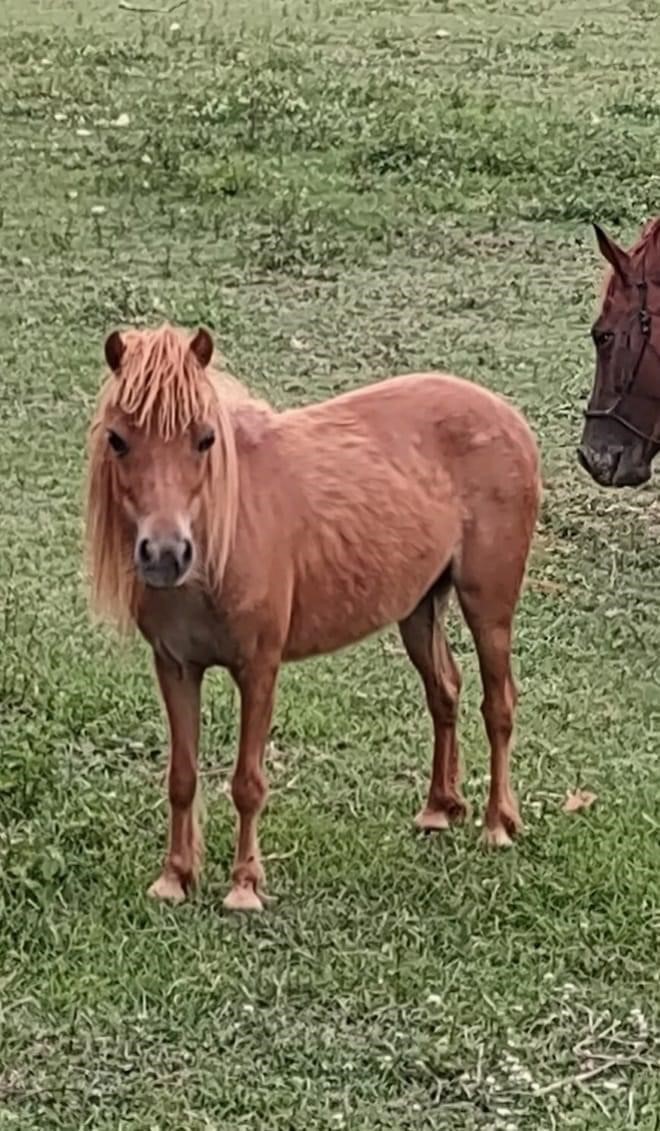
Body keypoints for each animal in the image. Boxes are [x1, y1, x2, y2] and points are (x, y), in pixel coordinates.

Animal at [85, 323, 542, 913]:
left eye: (205, 439)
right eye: (118, 439)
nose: (165, 554)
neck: (221, 541)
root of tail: (509, 418)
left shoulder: (259, 668)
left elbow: (247, 782)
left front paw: (244, 886)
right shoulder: (175, 667)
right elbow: (181, 777)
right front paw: (175, 877)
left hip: (489, 609)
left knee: (498, 704)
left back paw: (497, 824)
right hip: (419, 610)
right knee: (444, 692)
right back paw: (440, 808)